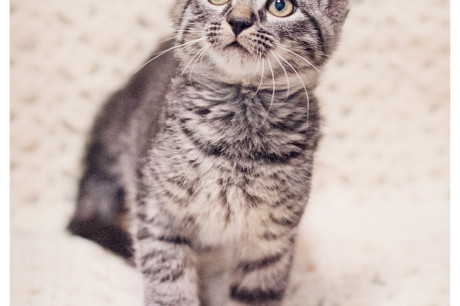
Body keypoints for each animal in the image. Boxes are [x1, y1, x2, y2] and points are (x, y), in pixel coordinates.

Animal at [68, 0, 348, 306]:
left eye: (280, 6)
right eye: (216, 1)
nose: (238, 21)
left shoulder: (271, 234)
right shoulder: (158, 210)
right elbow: (170, 285)